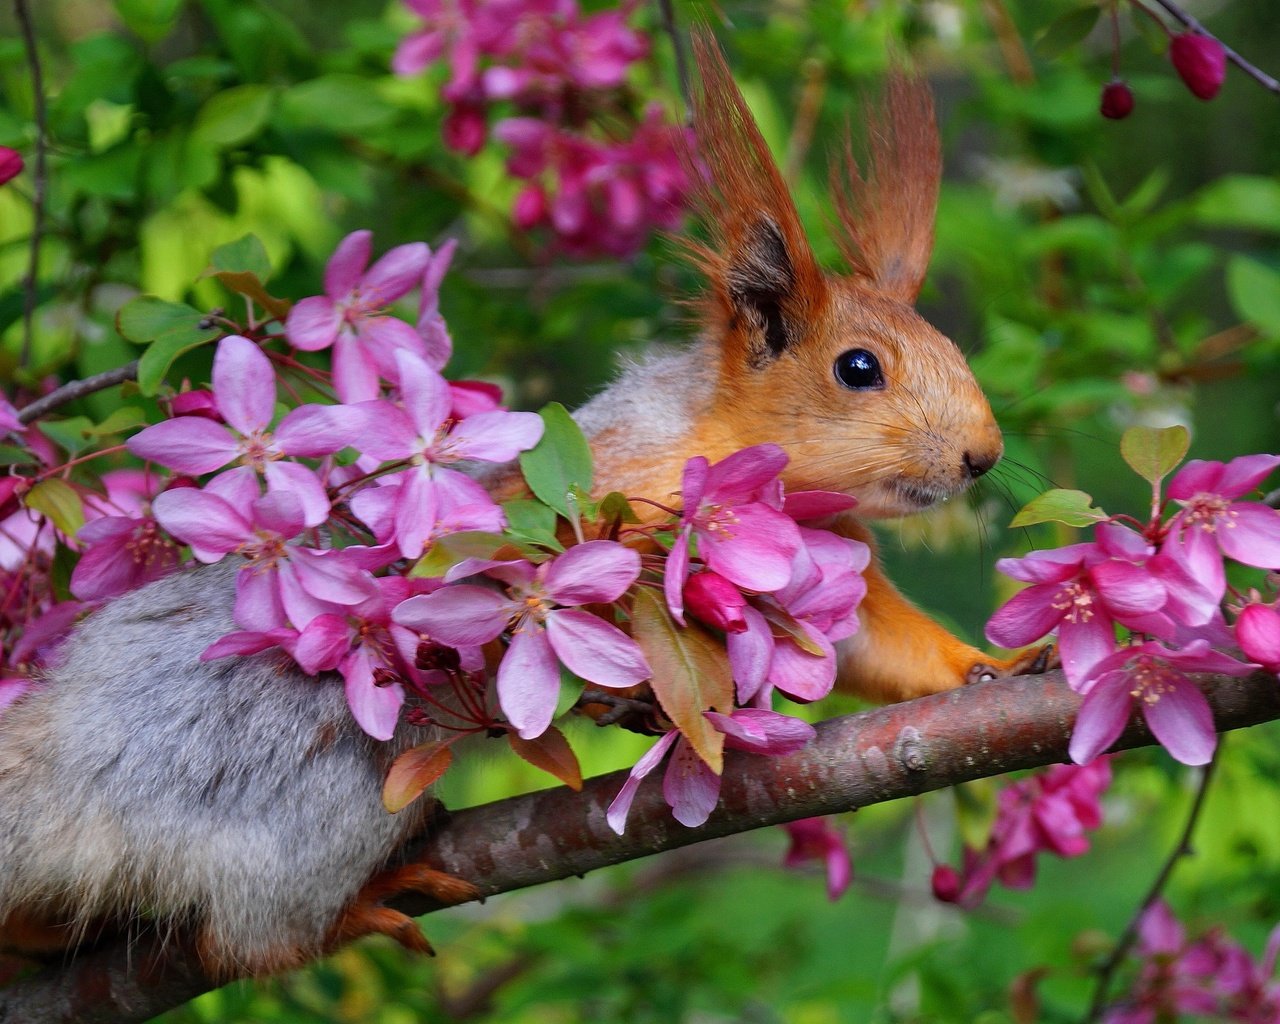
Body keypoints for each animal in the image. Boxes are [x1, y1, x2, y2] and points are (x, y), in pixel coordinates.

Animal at [0, 30, 1049, 977]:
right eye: (858, 369)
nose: (983, 456)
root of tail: (65, 765)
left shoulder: (828, 562)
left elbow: (886, 651)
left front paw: (997, 664)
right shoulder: (617, 504)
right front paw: (653, 703)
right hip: (314, 776)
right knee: (250, 938)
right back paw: (367, 904)